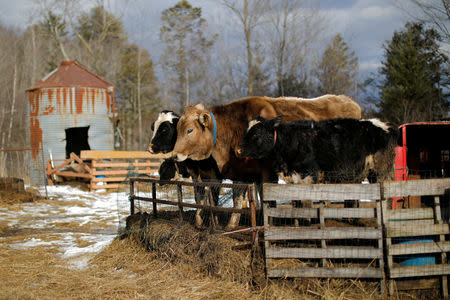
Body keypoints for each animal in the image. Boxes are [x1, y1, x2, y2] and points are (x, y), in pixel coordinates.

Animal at [174, 94, 360, 230]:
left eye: (189, 130)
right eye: (178, 129)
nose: (175, 155)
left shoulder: (268, 173)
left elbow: (267, 200)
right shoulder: (240, 173)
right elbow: (238, 199)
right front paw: (232, 225)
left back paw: (352, 217)